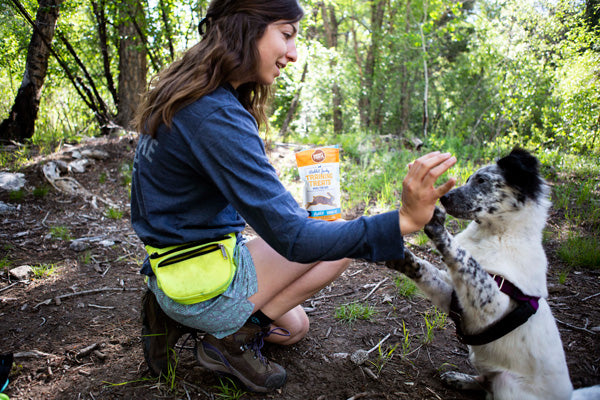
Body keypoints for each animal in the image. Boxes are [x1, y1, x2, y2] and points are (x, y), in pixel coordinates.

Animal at [386, 149, 596, 400]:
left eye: (481, 181)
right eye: (469, 179)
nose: (444, 198)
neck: (497, 237)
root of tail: (569, 396)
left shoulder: (493, 305)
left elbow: (466, 259)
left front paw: (438, 227)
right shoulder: (457, 300)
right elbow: (427, 270)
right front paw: (402, 257)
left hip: (508, 383)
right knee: (484, 382)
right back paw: (459, 379)